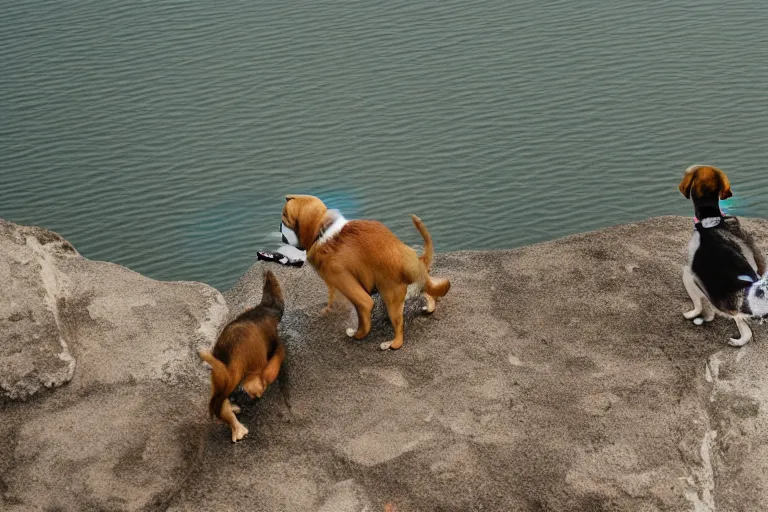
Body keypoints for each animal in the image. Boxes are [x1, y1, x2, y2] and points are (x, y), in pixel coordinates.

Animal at [198, 270, 284, 442]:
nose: (267, 271)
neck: (266, 307)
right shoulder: (274, 343)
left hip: (219, 379)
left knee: (221, 404)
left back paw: (236, 420)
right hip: (251, 366)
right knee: (252, 385)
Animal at [280, 194, 450, 350]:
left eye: (285, 216)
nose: (280, 231)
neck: (323, 230)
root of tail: (414, 262)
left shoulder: (338, 274)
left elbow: (364, 306)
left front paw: (357, 334)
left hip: (390, 292)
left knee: (397, 321)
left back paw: (394, 342)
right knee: (432, 289)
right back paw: (429, 304)